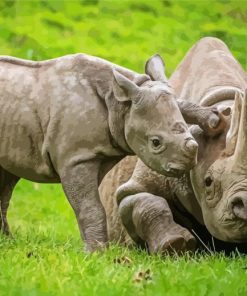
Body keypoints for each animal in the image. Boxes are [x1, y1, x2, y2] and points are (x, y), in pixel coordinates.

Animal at [0, 52, 220, 251]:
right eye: (155, 143)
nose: (188, 163)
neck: (118, 104)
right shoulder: (77, 158)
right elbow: (90, 207)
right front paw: (96, 253)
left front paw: (214, 119)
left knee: (6, 180)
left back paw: (7, 243)